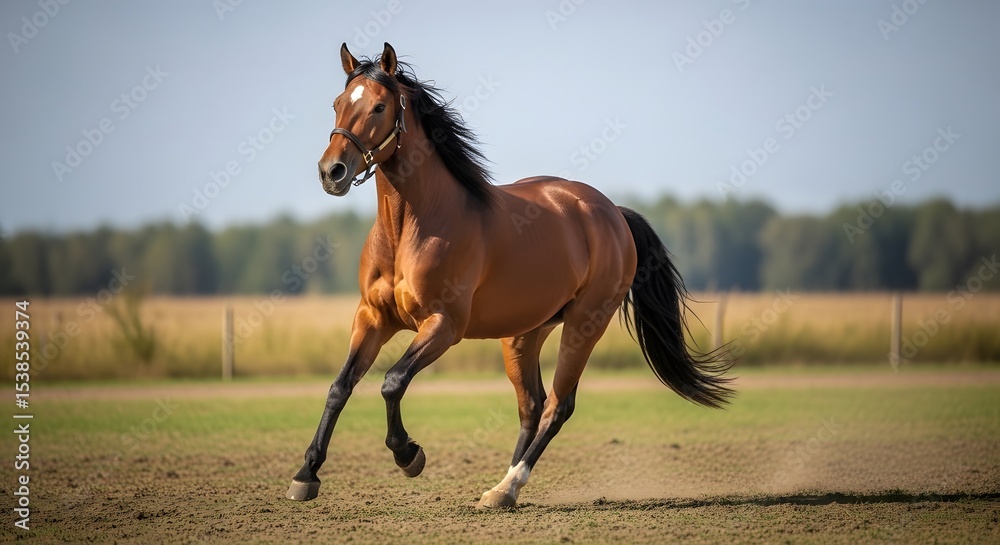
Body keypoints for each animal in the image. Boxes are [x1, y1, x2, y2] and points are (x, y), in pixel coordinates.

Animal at [287, 42, 734, 509]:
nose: (331, 172)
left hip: (584, 326)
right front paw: (306, 475)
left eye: (379, 106)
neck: (411, 228)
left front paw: (409, 455)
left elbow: (392, 382)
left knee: (558, 405)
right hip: (523, 334)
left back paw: (509, 484)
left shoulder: (443, 326)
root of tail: (612, 212)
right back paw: (501, 490)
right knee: (531, 406)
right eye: (337, 103)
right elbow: (340, 387)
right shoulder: (373, 318)